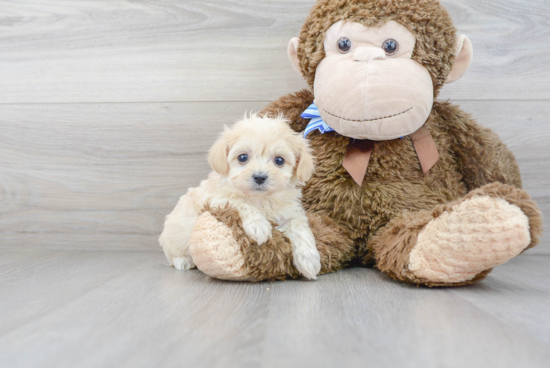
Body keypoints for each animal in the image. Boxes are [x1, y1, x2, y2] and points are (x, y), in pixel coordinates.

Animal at [160, 114, 324, 278]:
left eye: (279, 160)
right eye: (243, 157)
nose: (259, 177)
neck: (260, 199)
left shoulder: (290, 212)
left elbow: (300, 228)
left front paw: (309, 260)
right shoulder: (217, 199)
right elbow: (242, 203)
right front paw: (259, 226)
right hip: (174, 237)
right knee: (173, 254)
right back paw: (183, 261)